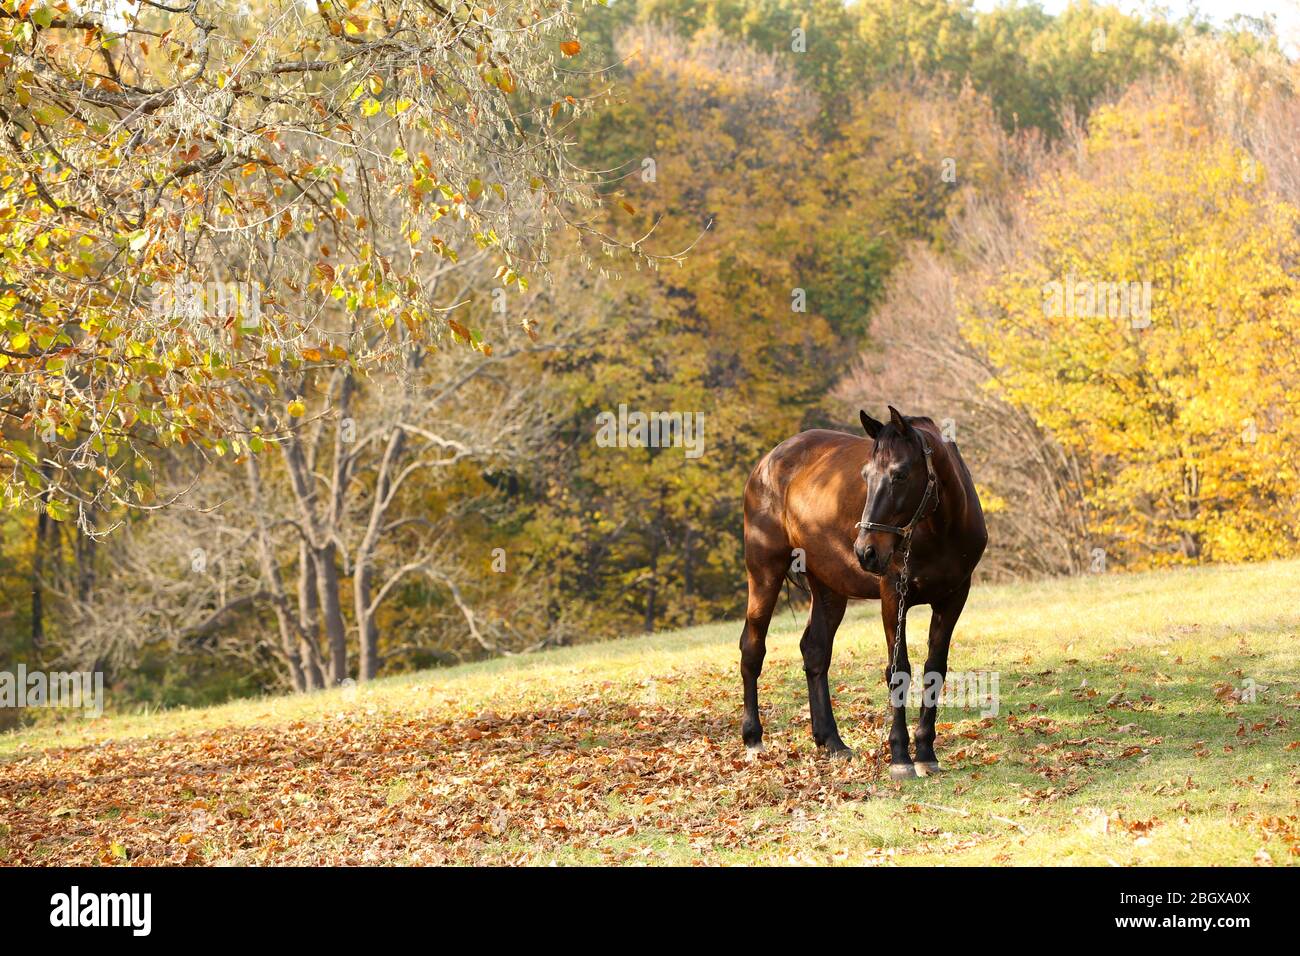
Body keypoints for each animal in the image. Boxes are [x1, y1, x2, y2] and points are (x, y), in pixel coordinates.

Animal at [739, 406, 987, 779]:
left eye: (900, 474)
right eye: (866, 476)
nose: (866, 551)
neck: (940, 528)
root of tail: (767, 463)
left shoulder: (953, 599)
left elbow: (935, 669)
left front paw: (925, 752)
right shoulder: (893, 598)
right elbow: (898, 671)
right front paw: (900, 757)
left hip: (829, 588)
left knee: (815, 652)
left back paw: (831, 741)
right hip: (764, 572)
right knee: (753, 648)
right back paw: (754, 740)